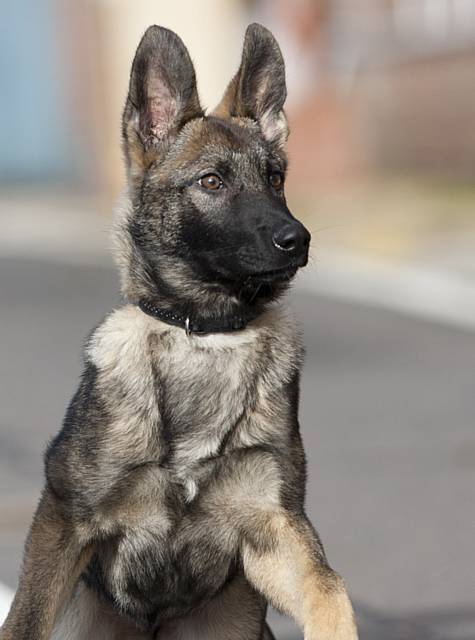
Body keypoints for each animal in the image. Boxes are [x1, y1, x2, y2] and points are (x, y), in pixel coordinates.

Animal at [0, 23, 358, 640]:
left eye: (276, 179)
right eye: (211, 182)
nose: (298, 239)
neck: (206, 334)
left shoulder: (275, 529)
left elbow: (330, 590)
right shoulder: (64, 520)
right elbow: (25, 618)